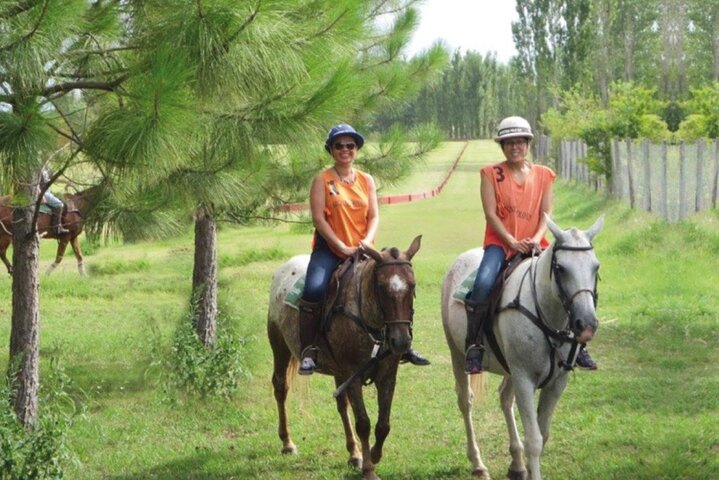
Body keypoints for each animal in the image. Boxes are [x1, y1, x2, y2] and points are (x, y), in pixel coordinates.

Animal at [268, 236, 422, 480]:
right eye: (381, 287)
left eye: (413, 285)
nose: (401, 342)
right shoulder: (354, 375)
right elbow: (364, 423)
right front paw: (369, 469)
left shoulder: (387, 375)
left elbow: (383, 424)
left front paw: (373, 455)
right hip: (280, 347)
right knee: (281, 388)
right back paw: (287, 443)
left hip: (338, 372)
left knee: (341, 404)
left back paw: (354, 454)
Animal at [442, 217, 604, 480]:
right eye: (561, 268)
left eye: (595, 267)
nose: (586, 324)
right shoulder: (525, 379)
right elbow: (534, 441)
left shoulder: (557, 382)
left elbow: (543, 434)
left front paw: (525, 467)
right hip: (457, 353)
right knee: (465, 401)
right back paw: (477, 463)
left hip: (509, 369)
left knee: (504, 398)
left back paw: (516, 464)